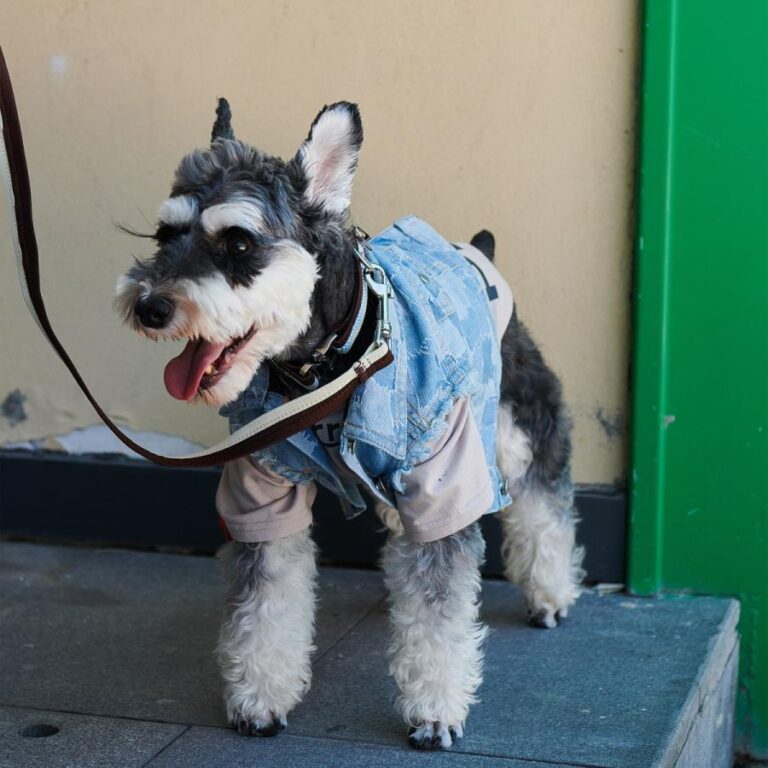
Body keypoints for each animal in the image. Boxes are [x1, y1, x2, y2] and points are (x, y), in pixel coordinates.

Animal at [114, 100, 584, 752]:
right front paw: (259, 699)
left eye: (238, 242)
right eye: (165, 234)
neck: (326, 368)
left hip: (513, 422)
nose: (149, 307)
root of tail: (474, 247)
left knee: (543, 497)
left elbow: (440, 605)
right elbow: (266, 600)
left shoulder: (443, 474)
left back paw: (551, 593)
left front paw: (435, 710)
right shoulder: (261, 486)